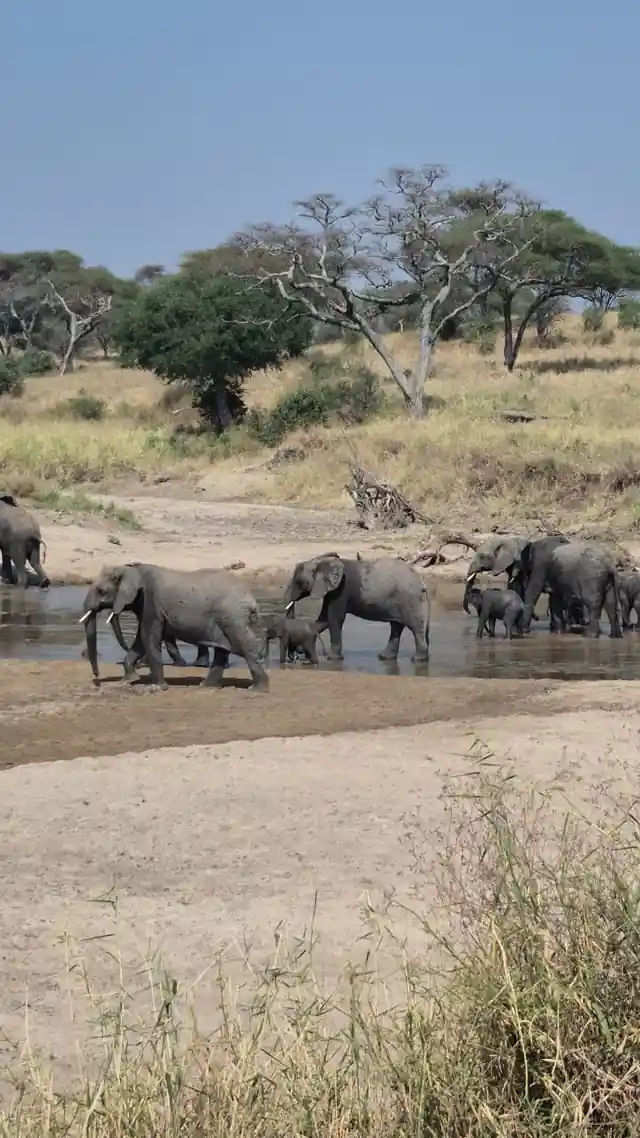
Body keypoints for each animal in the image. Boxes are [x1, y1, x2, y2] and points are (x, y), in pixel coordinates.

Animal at [79, 563, 269, 691]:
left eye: (102, 591)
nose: (96, 676)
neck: (131, 568)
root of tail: (252, 600)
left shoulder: (151, 602)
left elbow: (148, 637)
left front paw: (158, 688)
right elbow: (141, 639)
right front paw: (128, 680)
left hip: (233, 617)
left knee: (245, 646)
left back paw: (257, 689)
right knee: (222, 650)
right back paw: (206, 686)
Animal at [285, 552, 430, 662]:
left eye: (299, 581)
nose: (295, 655)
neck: (322, 562)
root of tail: (421, 581)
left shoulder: (341, 590)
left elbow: (334, 619)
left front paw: (332, 659)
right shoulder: (331, 591)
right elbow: (323, 620)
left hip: (410, 599)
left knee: (416, 627)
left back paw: (418, 659)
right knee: (396, 627)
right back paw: (384, 657)